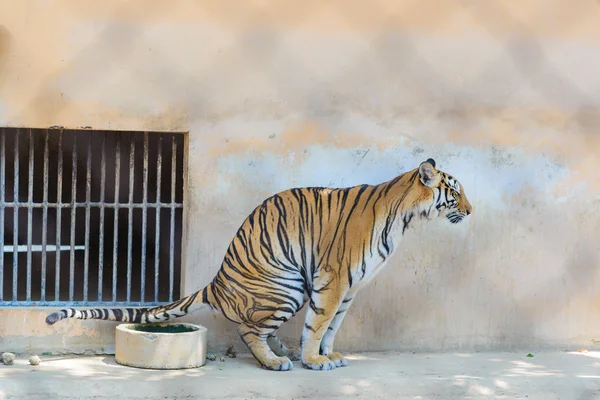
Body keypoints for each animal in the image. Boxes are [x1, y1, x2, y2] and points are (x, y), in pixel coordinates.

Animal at [44, 159, 472, 372]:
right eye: (454, 192)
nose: (471, 211)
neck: (406, 218)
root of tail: (216, 281)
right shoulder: (333, 281)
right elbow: (319, 324)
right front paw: (314, 360)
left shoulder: (349, 290)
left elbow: (332, 327)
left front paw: (328, 354)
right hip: (287, 286)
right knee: (249, 330)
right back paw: (275, 361)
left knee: (260, 329)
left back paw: (281, 349)